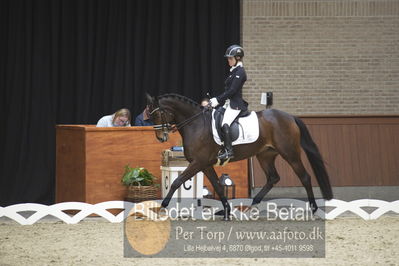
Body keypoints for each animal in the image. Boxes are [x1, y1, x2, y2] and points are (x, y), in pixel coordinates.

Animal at [148, 92, 332, 219]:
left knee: (305, 177)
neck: (195, 123)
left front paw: (162, 207)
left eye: (157, 114)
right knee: (273, 178)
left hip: (290, 153)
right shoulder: (205, 164)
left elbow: (177, 182)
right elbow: (217, 186)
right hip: (265, 155)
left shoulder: (198, 163)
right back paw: (253, 207)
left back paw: (314, 209)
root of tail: (290, 117)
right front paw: (226, 211)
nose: (161, 138)